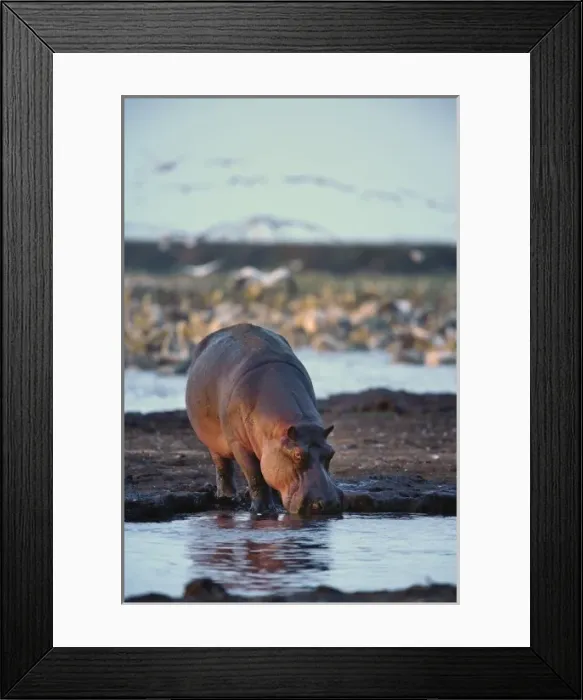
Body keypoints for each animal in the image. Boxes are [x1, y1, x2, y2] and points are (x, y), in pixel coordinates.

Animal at [185, 323, 343, 515]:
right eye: (298, 455)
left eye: (331, 452)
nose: (328, 503)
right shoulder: (238, 443)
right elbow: (255, 475)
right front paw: (263, 510)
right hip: (213, 442)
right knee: (223, 467)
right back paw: (227, 498)